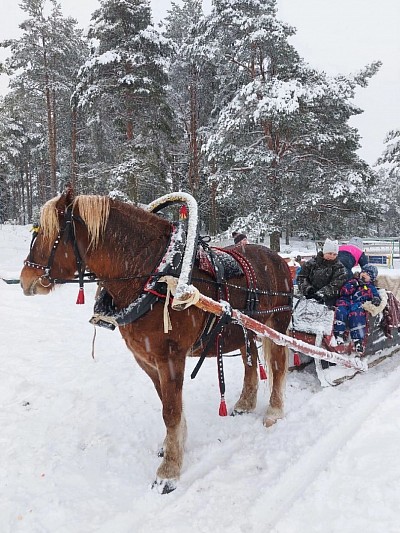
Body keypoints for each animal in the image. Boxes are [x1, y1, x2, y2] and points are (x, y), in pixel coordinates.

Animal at [19, 188, 290, 494]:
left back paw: (274, 411)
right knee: (249, 360)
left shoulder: (170, 357)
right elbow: (168, 406)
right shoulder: (147, 359)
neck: (154, 274)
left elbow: (170, 411)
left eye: (52, 233)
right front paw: (175, 446)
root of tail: (280, 259)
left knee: (277, 365)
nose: (25, 279)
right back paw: (245, 403)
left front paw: (168, 472)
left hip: (277, 326)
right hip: (243, 328)